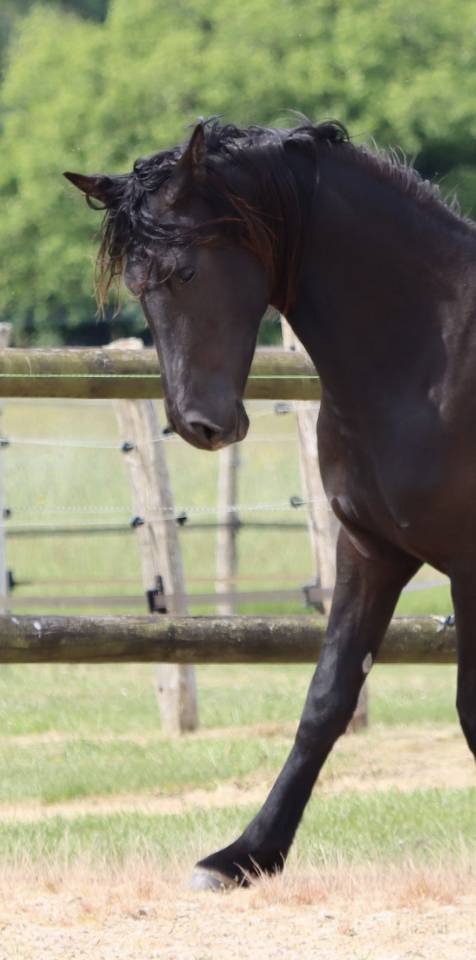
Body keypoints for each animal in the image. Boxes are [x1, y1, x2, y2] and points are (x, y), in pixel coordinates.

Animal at [65, 118, 476, 891]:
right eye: (136, 287)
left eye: (188, 271)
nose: (199, 424)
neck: (435, 354)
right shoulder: (370, 550)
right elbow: (325, 701)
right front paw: (245, 854)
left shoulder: (468, 566)